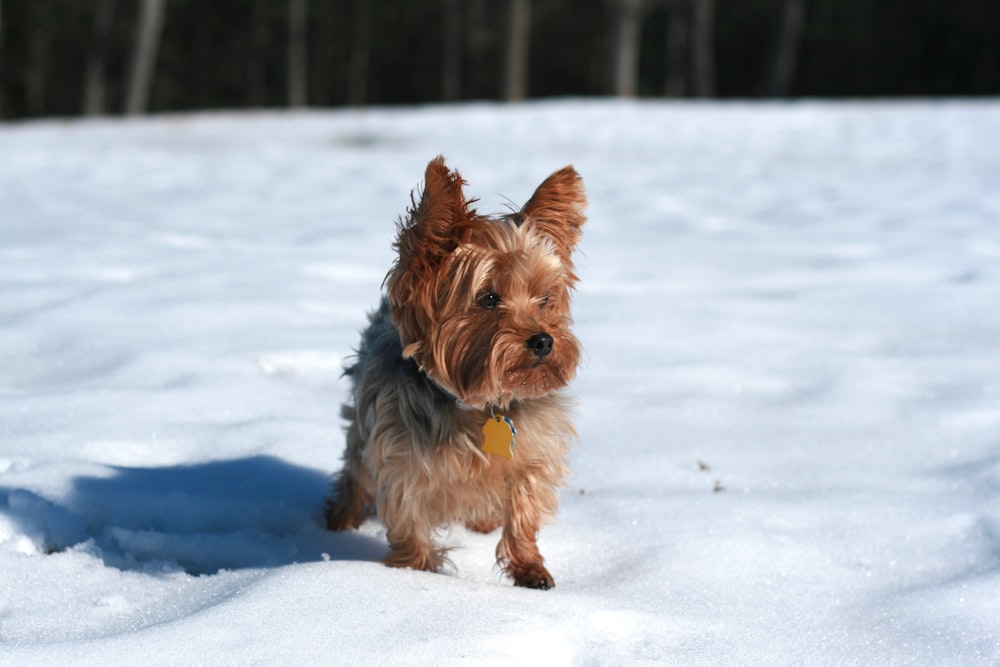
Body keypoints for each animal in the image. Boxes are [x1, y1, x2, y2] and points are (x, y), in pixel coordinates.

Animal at [324, 157, 584, 588]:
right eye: (488, 298)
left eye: (545, 298)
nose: (544, 341)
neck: (477, 405)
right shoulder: (402, 459)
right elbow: (409, 522)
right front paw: (417, 575)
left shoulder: (533, 449)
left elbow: (524, 505)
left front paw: (530, 569)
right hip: (364, 425)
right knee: (354, 470)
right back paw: (339, 519)